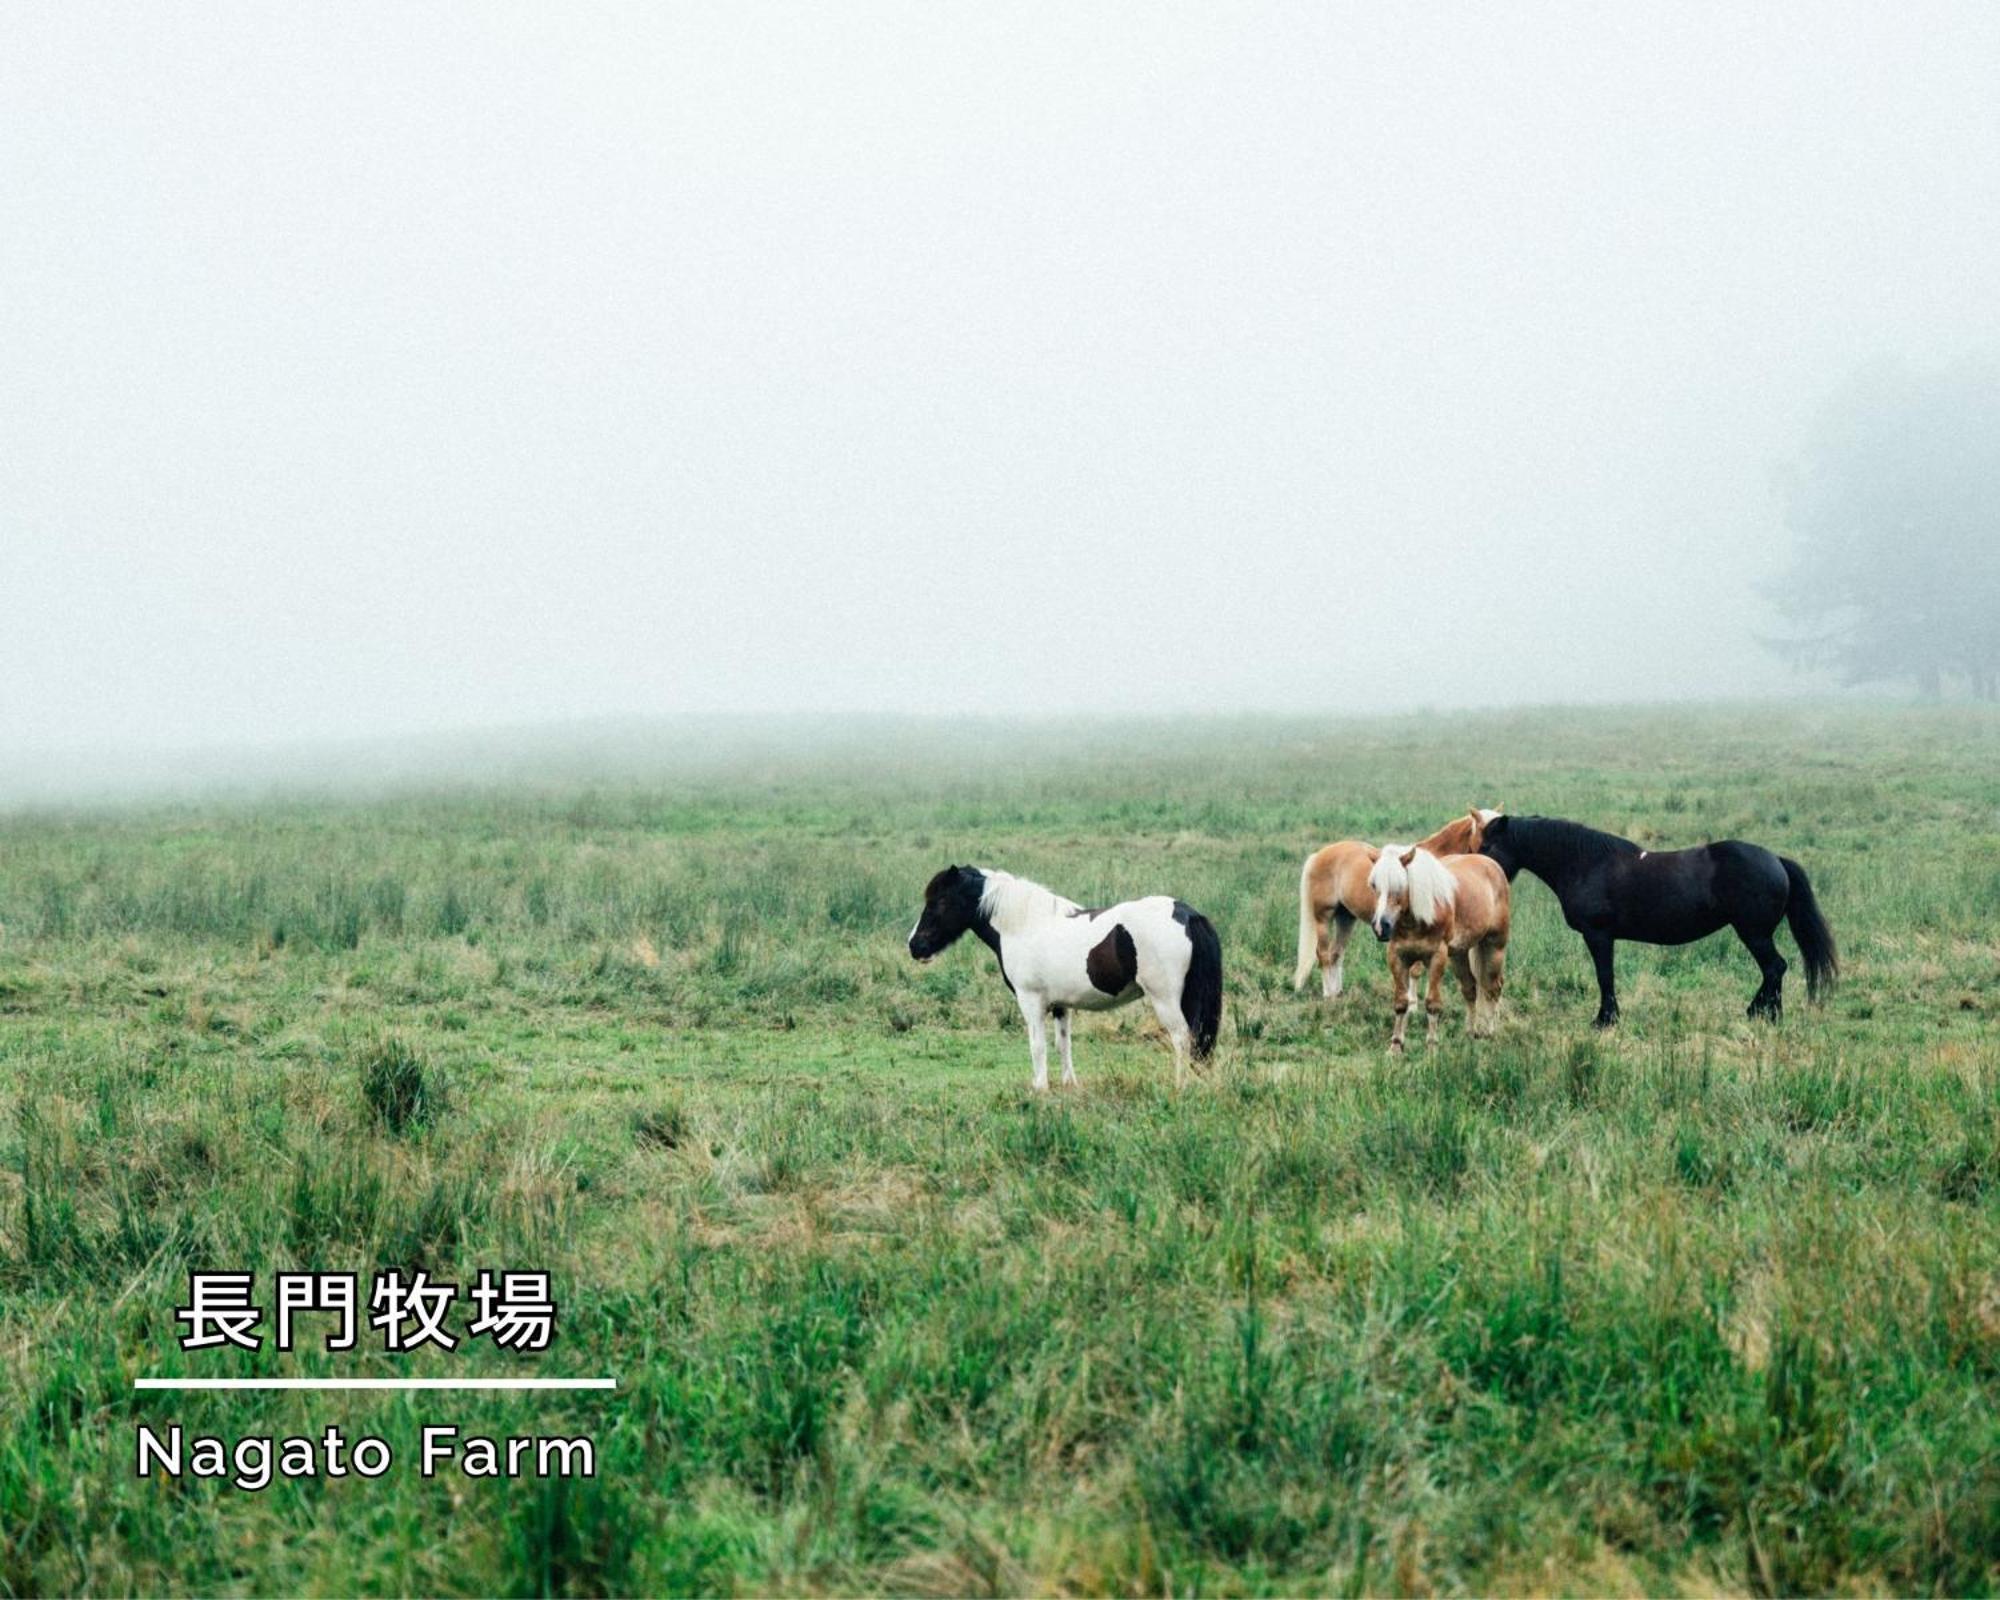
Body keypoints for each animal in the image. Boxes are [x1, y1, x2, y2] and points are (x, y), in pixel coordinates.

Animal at [908, 868, 1216, 1096]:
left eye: (940, 902)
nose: (914, 945)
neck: (1024, 925)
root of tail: (1187, 914)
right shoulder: (1060, 1005)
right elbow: (1062, 1044)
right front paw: (1069, 1084)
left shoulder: (1030, 1001)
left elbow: (1038, 1045)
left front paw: (1039, 1087)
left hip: (1166, 1000)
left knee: (1181, 1038)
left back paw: (1180, 1086)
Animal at [1296, 812, 1504, 1000]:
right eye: (1486, 837)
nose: (1496, 868)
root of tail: (1318, 855)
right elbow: (1415, 970)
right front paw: (1412, 1003)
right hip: (1323, 917)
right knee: (1323, 955)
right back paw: (1327, 995)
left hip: (1345, 918)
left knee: (1336, 954)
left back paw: (1336, 993)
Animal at [1368, 844, 1504, 1056]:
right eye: (1374, 886)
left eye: (1400, 885)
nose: (1380, 927)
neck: (1416, 920)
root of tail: (1491, 864)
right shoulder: (1397, 957)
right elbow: (1401, 1002)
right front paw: (1396, 1046)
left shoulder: (1437, 957)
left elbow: (1432, 1004)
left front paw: (1432, 1047)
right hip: (1459, 955)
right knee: (1470, 989)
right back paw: (1470, 1033)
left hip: (1494, 947)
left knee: (1493, 988)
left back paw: (1489, 1033)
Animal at [1480, 812, 1832, 1024]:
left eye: (1488, 846)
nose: (1481, 873)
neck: (1586, 863)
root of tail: (1776, 860)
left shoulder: (1598, 935)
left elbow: (1605, 976)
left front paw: (1604, 1020)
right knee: (1774, 970)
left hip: (1754, 933)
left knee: (1775, 967)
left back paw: (1763, 1014)